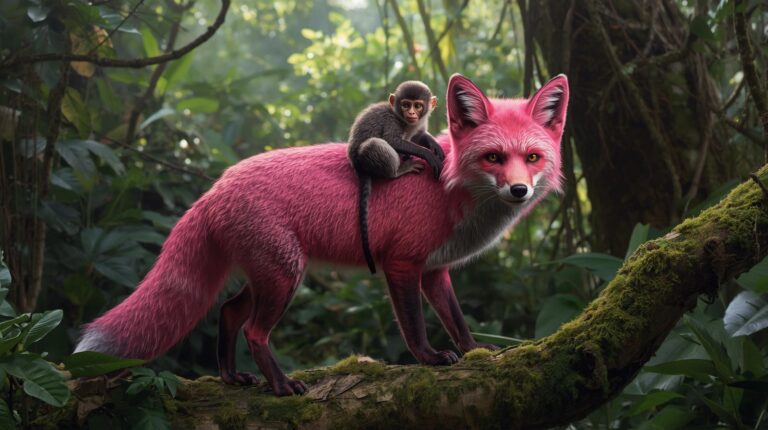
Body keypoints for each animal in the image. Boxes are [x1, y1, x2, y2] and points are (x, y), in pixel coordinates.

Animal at [347, 80, 446, 274]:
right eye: (406, 104)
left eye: (418, 105)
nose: (411, 113)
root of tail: (357, 165)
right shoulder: (392, 121)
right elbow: (392, 140)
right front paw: (427, 154)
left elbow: (418, 135)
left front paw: (433, 143)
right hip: (365, 159)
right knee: (374, 144)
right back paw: (399, 170)